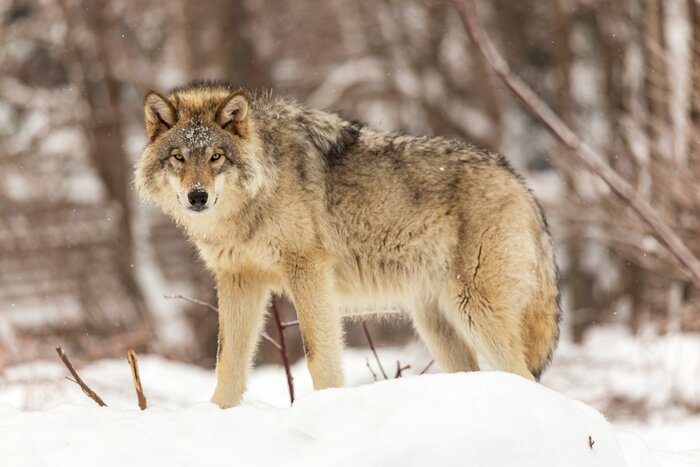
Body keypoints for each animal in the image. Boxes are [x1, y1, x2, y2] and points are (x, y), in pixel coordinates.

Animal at [135, 80, 560, 408]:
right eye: (179, 157)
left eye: (215, 157)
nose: (197, 197)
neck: (253, 200)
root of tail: (521, 184)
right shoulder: (238, 279)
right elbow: (228, 363)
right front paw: (219, 414)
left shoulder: (307, 269)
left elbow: (318, 355)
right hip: (437, 324)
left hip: (474, 310)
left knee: (523, 375)